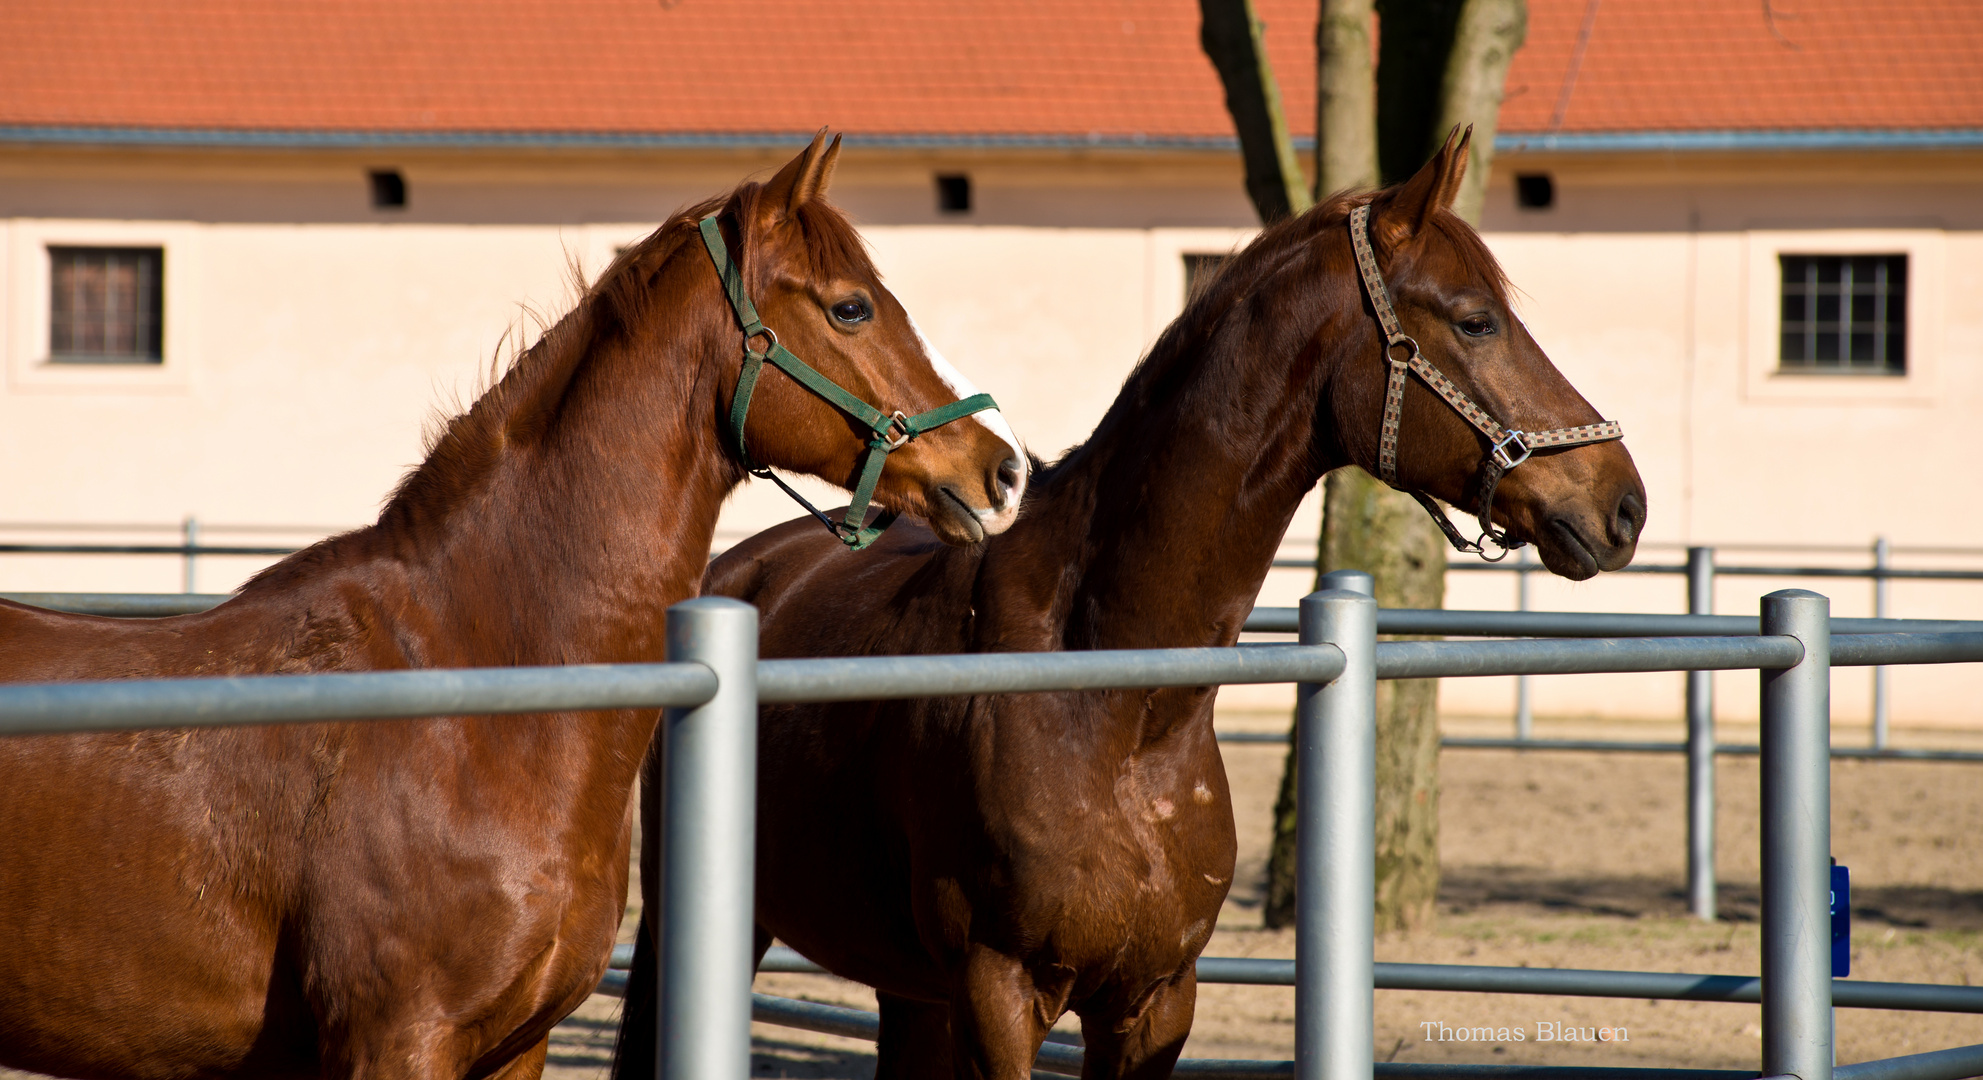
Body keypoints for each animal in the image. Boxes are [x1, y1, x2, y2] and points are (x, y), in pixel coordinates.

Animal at [618, 132, 1641, 1078]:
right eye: (1475, 322)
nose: (1621, 504)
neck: (1117, 703)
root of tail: (738, 573)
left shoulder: (1154, 1001)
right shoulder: (1000, 995)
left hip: (908, 991)